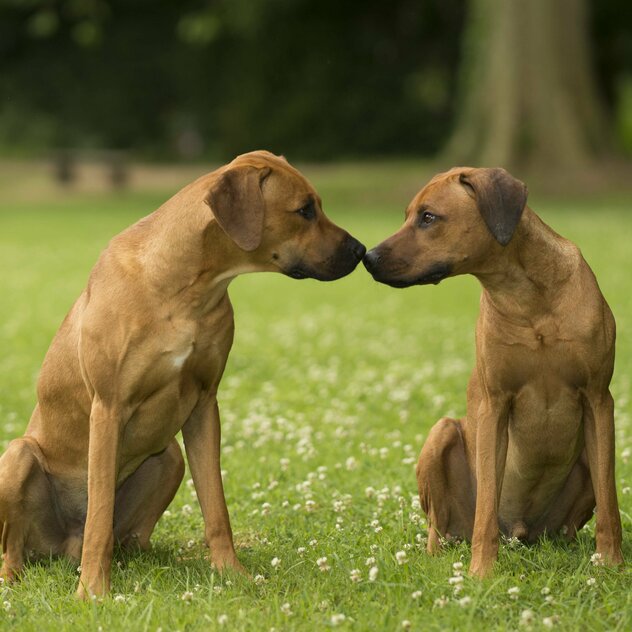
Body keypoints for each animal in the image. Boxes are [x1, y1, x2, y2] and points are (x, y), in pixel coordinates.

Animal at [0, 149, 366, 596]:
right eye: (305, 210)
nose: (361, 250)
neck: (186, 288)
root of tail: (63, 548)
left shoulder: (205, 404)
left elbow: (216, 507)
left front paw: (232, 573)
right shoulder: (108, 408)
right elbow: (100, 515)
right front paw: (92, 591)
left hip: (168, 456)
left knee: (132, 536)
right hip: (17, 456)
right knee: (16, 545)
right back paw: (16, 576)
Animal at [362, 167, 624, 576]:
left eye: (428, 217)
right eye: (408, 215)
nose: (368, 257)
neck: (528, 297)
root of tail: (520, 531)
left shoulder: (598, 399)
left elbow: (610, 504)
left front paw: (612, 564)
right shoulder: (494, 404)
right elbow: (485, 505)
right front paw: (481, 573)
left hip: (578, 467)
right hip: (442, 435)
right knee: (439, 528)